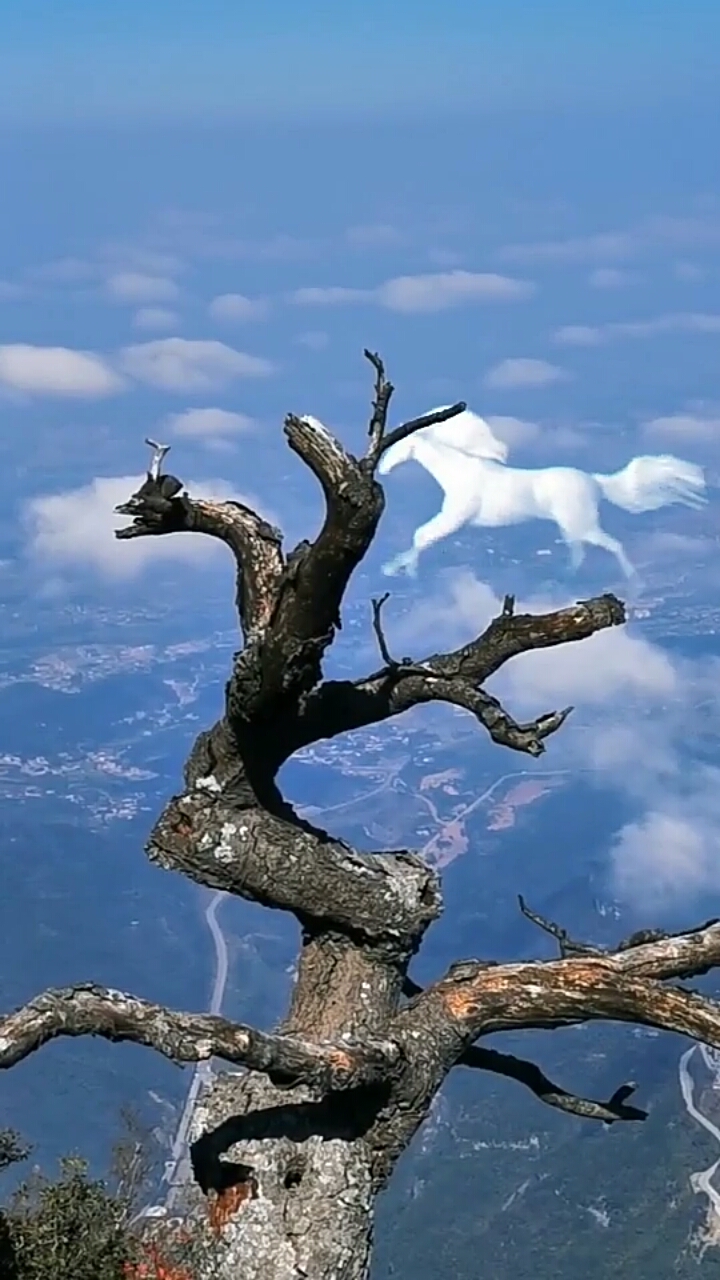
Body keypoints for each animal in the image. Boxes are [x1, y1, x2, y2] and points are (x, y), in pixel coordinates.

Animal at [378, 408, 707, 579]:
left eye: (397, 446)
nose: (382, 469)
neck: (461, 472)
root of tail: (594, 482)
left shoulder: (454, 518)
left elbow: (422, 535)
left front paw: (398, 569)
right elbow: (421, 537)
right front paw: (400, 569)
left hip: (579, 523)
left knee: (608, 545)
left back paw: (628, 581)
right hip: (572, 526)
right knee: (582, 550)